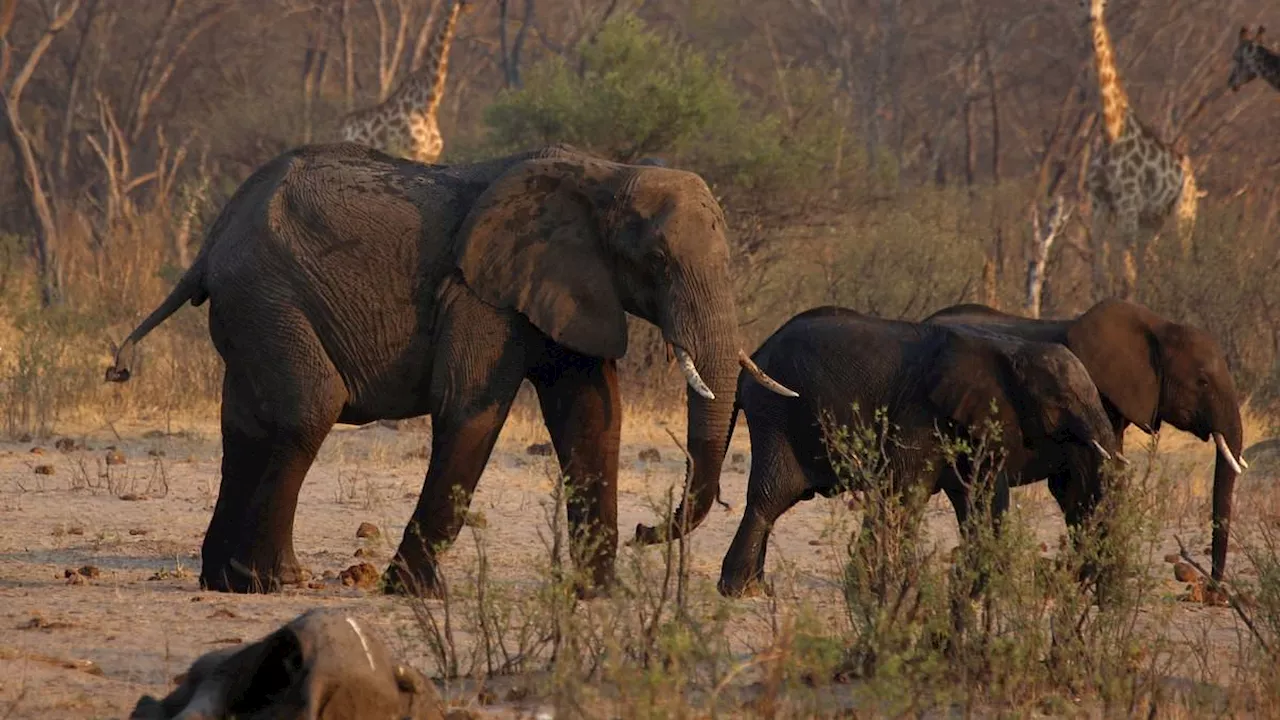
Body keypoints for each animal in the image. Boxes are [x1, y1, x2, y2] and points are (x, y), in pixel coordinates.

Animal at [104, 140, 793, 594]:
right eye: (655, 259)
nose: (651, 530)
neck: (606, 172)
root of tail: (210, 243)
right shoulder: (480, 293)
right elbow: (471, 410)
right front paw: (410, 593)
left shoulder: (569, 286)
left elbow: (593, 419)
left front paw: (598, 596)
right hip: (268, 296)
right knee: (307, 410)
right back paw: (275, 582)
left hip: (251, 309)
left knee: (244, 425)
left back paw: (222, 581)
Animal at [711, 304, 1121, 597]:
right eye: (1061, 402)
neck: (1007, 349)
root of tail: (753, 355)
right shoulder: (919, 413)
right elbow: (905, 492)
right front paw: (878, 588)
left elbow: (979, 495)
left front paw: (978, 587)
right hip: (776, 411)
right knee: (772, 496)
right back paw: (741, 592)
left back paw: (755, 588)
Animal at [1080, 0, 1198, 297]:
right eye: (1082, 2)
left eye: (1102, 3)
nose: (1091, 18)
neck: (1110, 132)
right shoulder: (1100, 201)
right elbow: (1100, 274)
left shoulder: (1128, 203)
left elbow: (1125, 276)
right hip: (1152, 221)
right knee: (1146, 263)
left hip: (1184, 215)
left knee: (1182, 263)